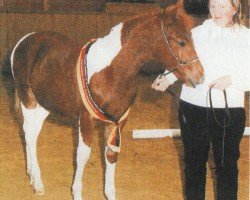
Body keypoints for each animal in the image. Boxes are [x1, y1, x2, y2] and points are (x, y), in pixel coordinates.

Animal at [10, 0, 204, 199]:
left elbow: (111, 155)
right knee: (29, 134)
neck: (111, 72)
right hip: (28, 100)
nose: (200, 76)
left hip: (44, 106)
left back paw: (32, 175)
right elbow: (82, 155)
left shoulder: (117, 121)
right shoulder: (86, 119)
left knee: (32, 134)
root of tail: (24, 40)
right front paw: (76, 193)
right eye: (181, 42)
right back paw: (37, 183)